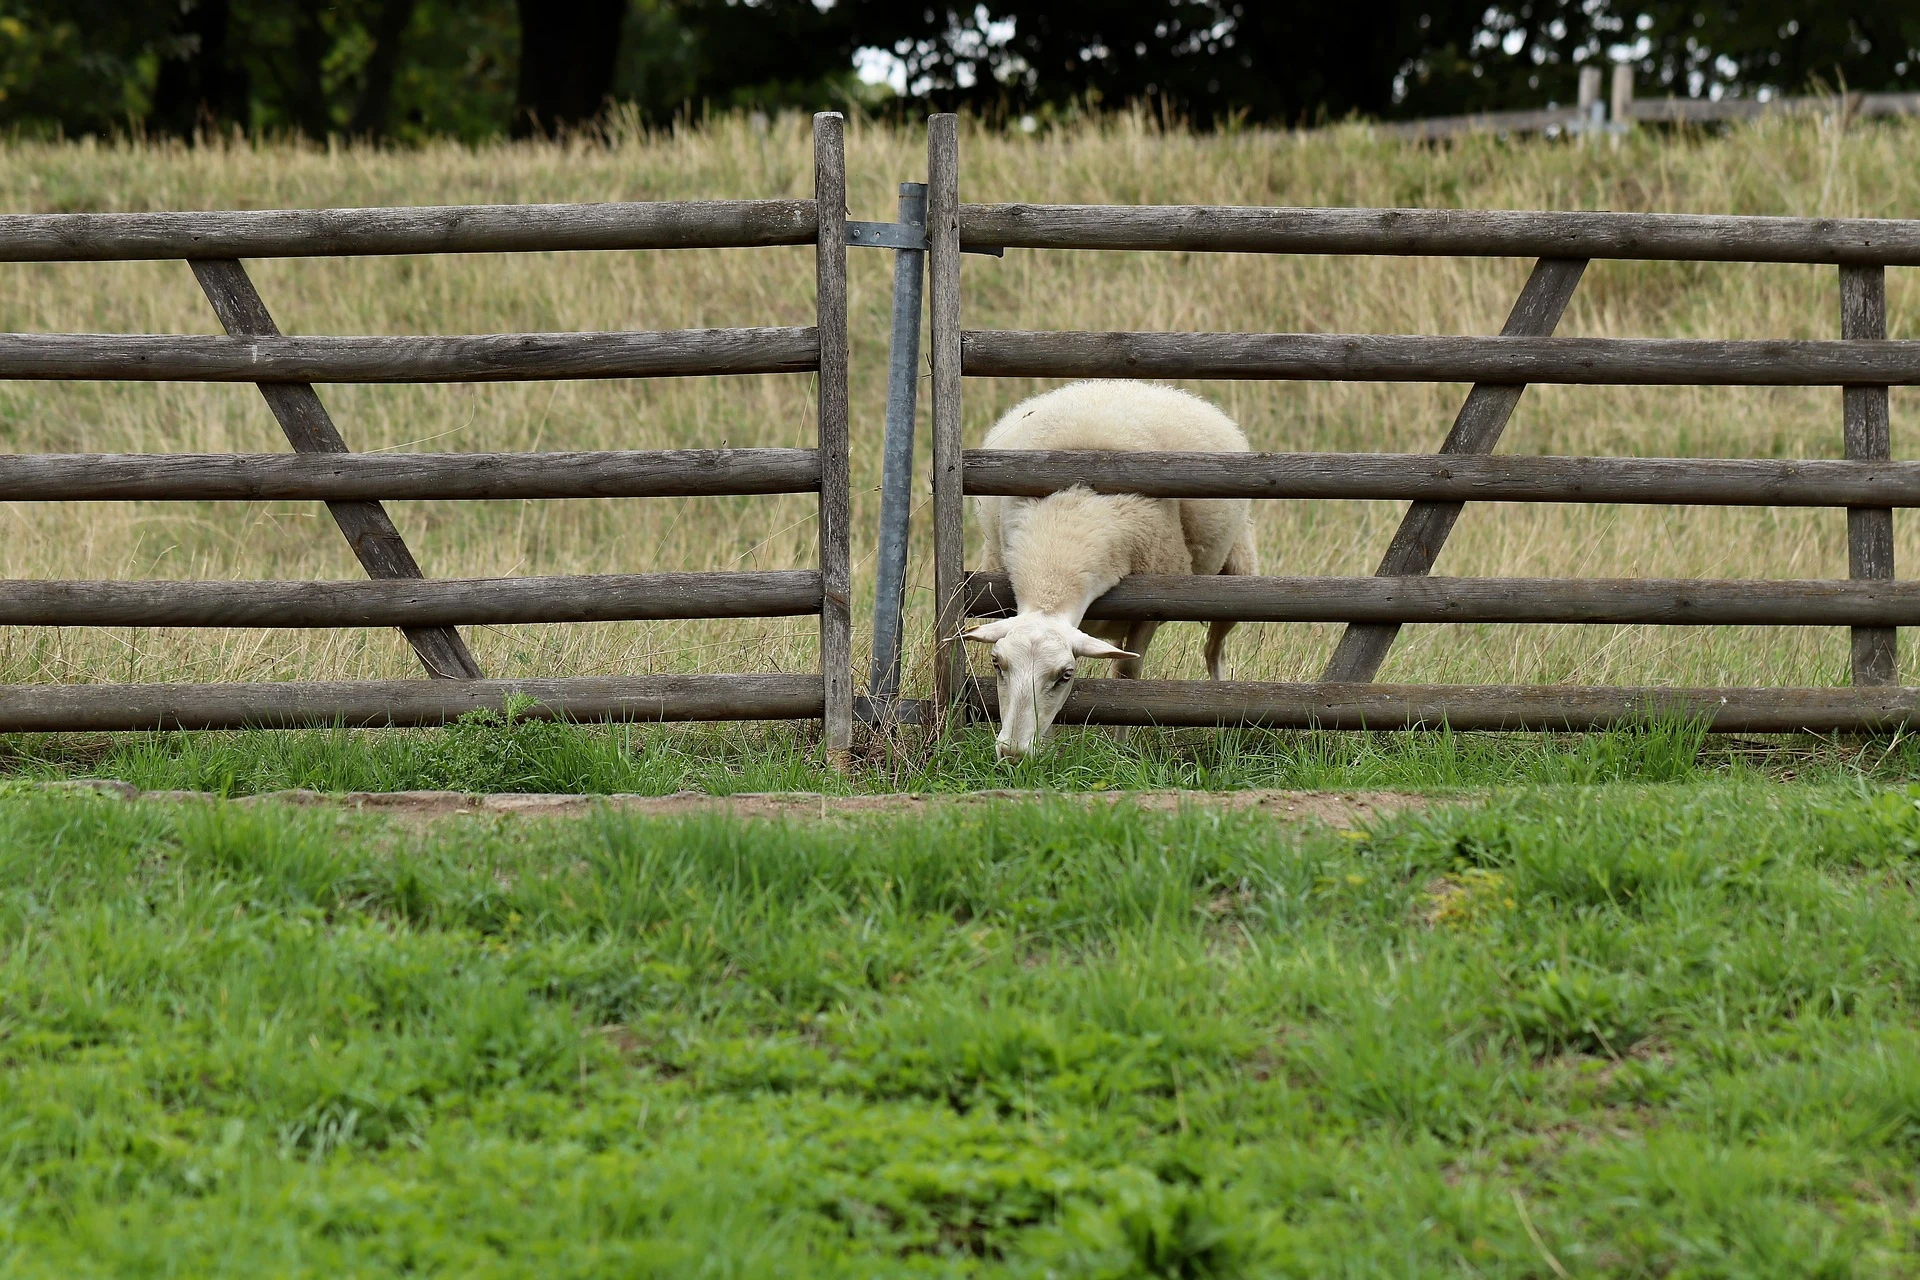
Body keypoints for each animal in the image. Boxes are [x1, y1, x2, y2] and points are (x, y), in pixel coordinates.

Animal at [960, 379, 1259, 759]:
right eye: (997, 663)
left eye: (1065, 675)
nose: (1013, 753)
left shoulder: (1151, 608)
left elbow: (1127, 676)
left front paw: (1120, 751)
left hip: (1237, 578)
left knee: (1213, 652)